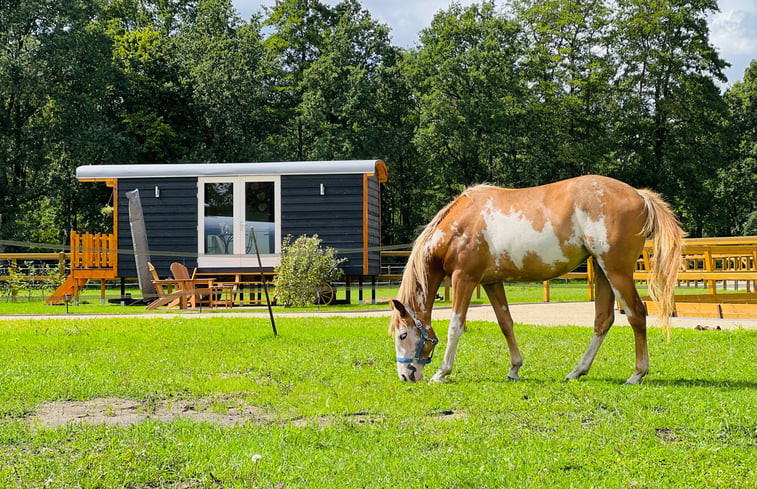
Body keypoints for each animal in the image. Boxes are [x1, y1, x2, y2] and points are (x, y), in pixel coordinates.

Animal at [386, 175, 684, 386]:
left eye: (403, 335)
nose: (404, 375)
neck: (460, 226)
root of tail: (640, 195)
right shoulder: (491, 282)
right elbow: (506, 324)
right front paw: (514, 369)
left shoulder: (464, 278)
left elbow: (455, 326)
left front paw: (442, 372)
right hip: (602, 271)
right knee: (603, 320)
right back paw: (577, 371)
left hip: (616, 271)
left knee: (636, 314)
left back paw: (637, 374)